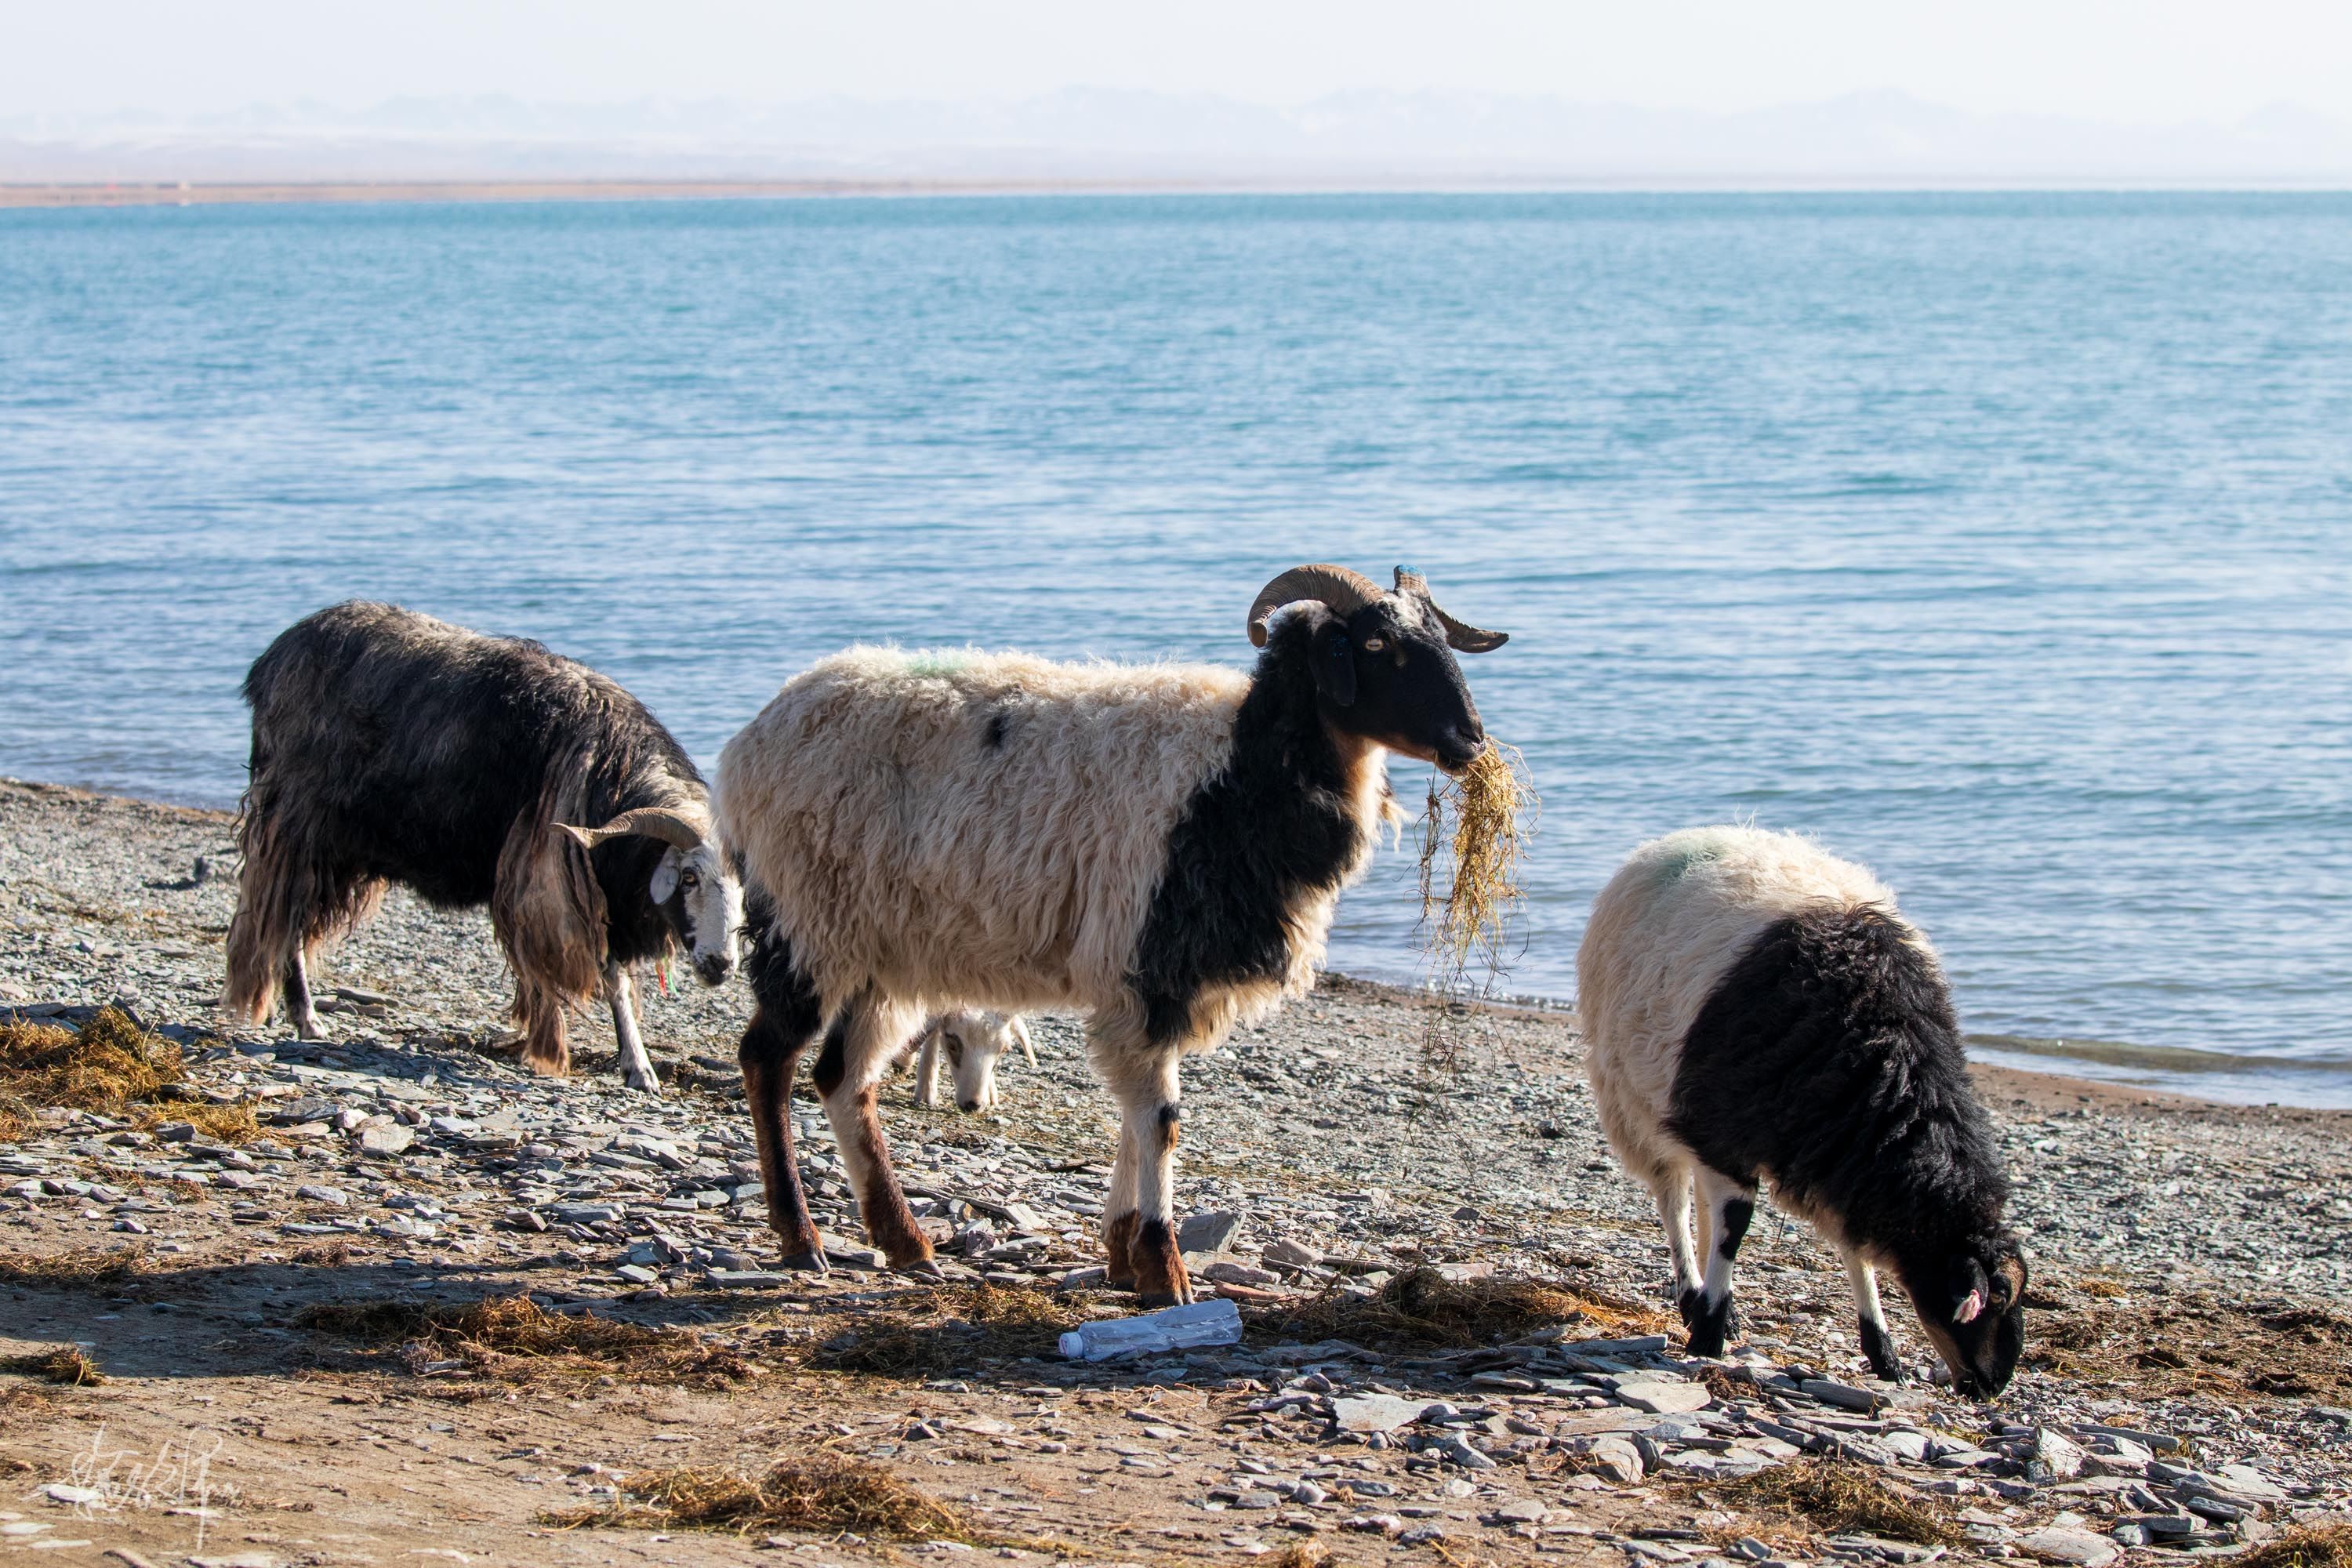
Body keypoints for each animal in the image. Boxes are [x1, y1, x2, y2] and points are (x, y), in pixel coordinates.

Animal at [221, 601, 739, 1091]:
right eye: (688, 877)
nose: (721, 966)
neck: (610, 770)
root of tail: (275, 657)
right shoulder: (555, 885)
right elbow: (605, 978)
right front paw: (619, 1063)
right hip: (295, 829)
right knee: (281, 917)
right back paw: (306, 1018)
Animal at [1571, 827, 2032, 1401]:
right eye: (1994, 1299)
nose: (1994, 1385)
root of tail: (1692, 835)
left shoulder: (1835, 1151)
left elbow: (1854, 1250)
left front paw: (1883, 1352)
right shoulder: (1727, 1125)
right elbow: (1735, 1227)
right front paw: (1708, 1334)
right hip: (1636, 1097)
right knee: (1674, 1197)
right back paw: (1694, 1294)